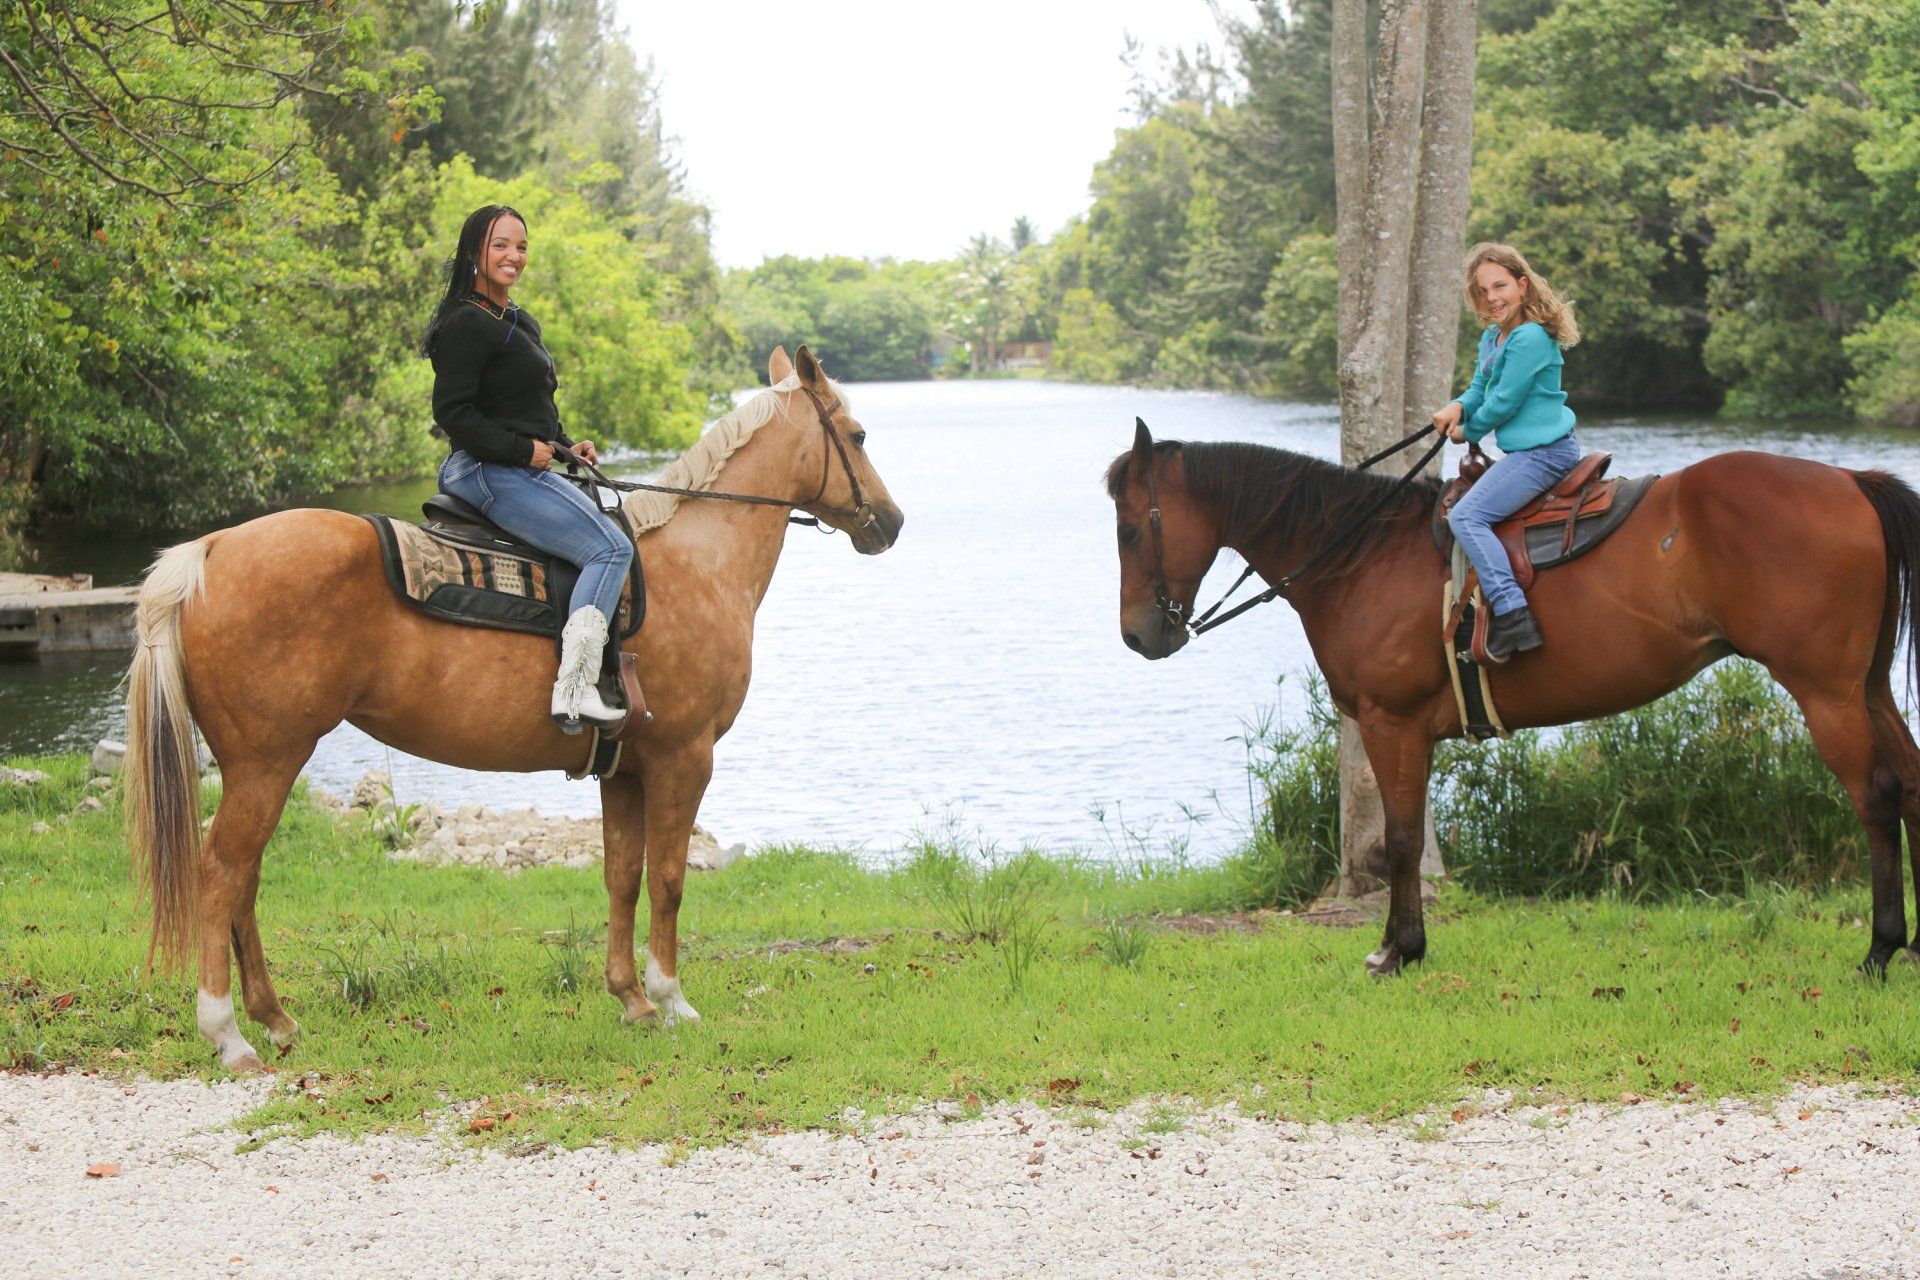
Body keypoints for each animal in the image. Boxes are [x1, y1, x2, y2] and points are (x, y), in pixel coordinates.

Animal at [124, 345, 903, 1072]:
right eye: (858, 435)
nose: (890, 523)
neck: (695, 559)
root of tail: (208, 550)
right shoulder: (684, 760)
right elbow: (670, 879)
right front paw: (673, 999)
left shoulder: (625, 771)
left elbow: (622, 877)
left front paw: (631, 999)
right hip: (268, 760)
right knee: (220, 875)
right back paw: (227, 1034)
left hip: (254, 766)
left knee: (244, 879)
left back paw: (275, 1018)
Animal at [1106, 419, 1920, 978]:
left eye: (1129, 530)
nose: (1138, 636)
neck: (1361, 553)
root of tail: (1851, 482)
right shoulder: (1405, 732)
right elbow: (1403, 837)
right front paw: (1400, 944)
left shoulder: (1392, 724)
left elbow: (1399, 841)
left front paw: (1399, 952)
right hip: (1870, 686)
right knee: (1910, 786)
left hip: (1827, 692)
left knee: (1877, 798)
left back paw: (1880, 950)